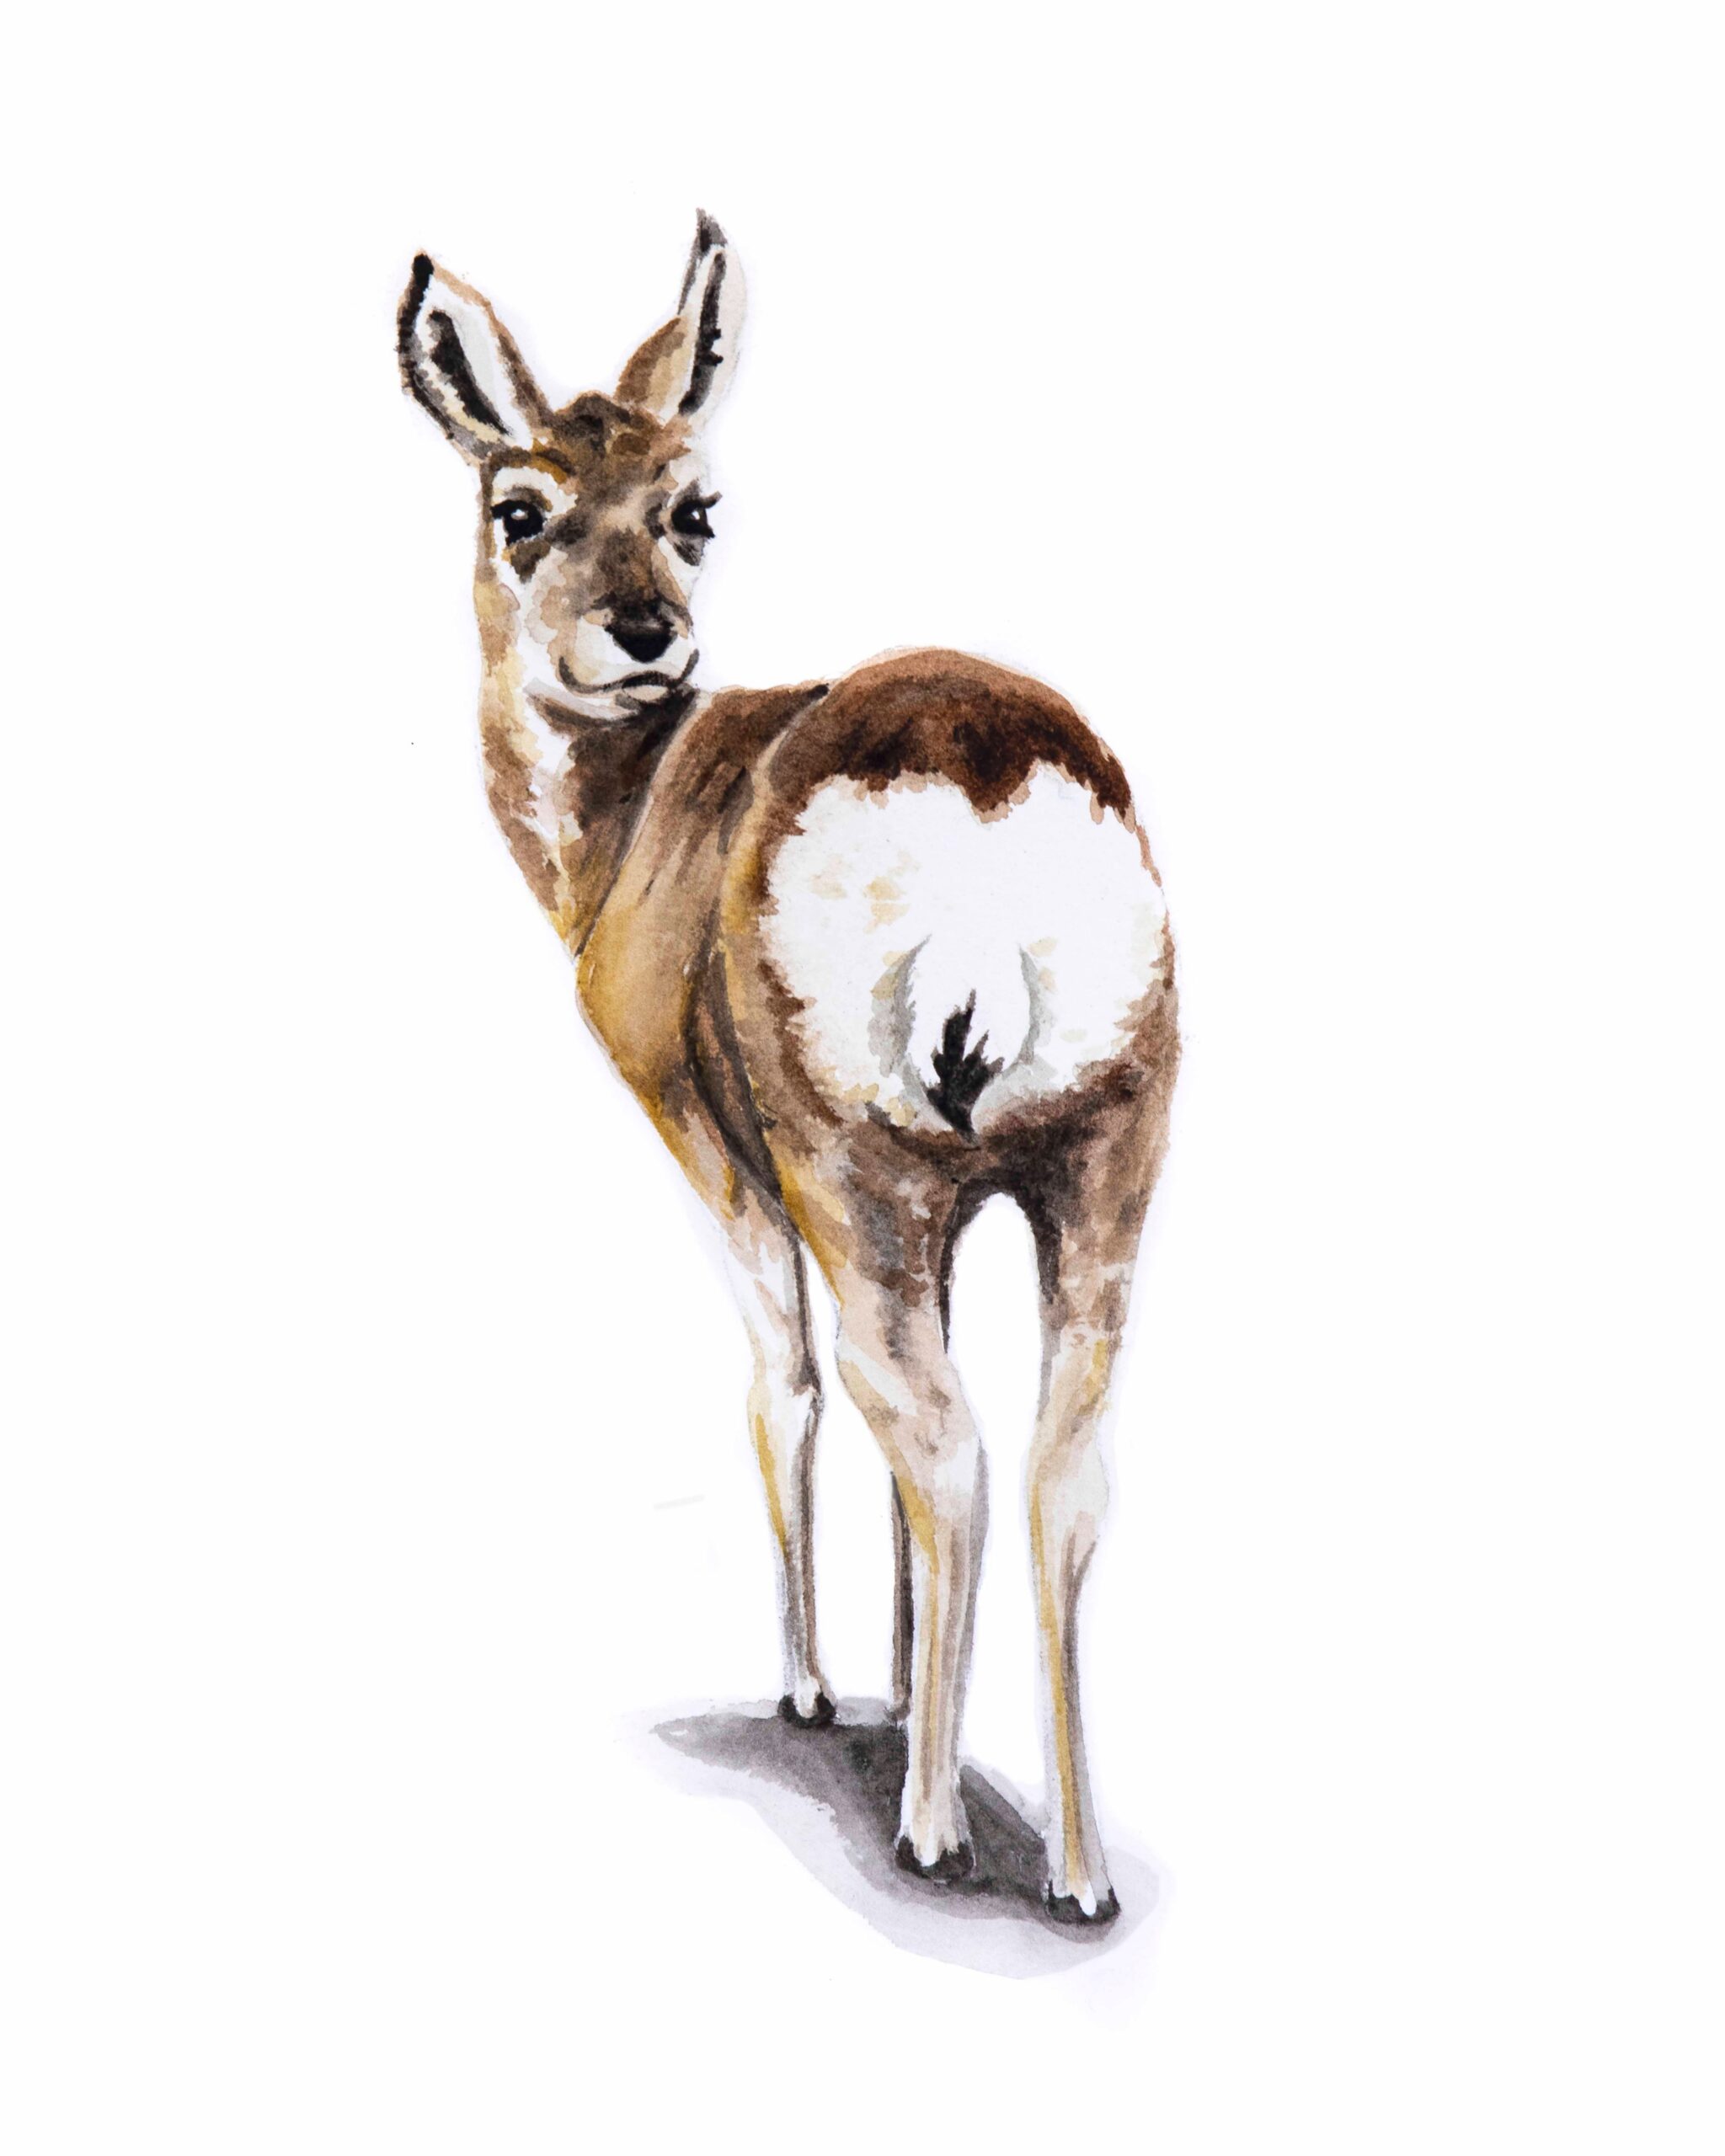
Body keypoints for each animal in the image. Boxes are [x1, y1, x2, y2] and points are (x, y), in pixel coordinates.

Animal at [397, 215, 1178, 1924]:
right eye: (522, 507)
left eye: (690, 508)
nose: (645, 635)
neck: (634, 815)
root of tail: (981, 784)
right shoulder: (971, 1208)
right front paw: (895, 1681)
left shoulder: (723, 1160)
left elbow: (785, 1388)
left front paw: (824, 1692)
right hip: (1099, 1177)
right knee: (1057, 1473)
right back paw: (1078, 1873)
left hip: (862, 1182)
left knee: (940, 1446)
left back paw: (935, 1831)